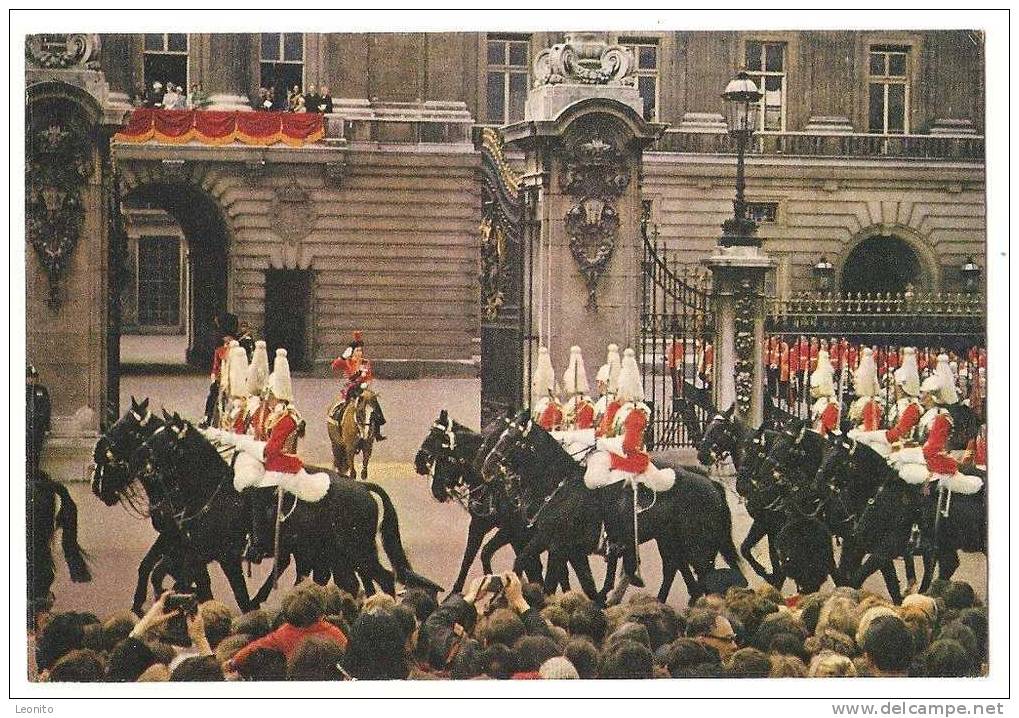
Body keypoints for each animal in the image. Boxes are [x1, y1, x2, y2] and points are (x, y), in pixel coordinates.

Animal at [411, 409, 546, 594]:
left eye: (433, 436)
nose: (417, 462)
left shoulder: (510, 530)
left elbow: (487, 554)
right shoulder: (481, 524)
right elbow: (469, 557)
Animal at [485, 411, 741, 602]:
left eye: (511, 439)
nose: (488, 465)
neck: (560, 485)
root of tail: (710, 483)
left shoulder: (558, 545)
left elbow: (550, 584)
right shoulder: (551, 542)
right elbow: (526, 563)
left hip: (698, 546)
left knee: (705, 576)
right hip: (670, 539)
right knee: (675, 569)